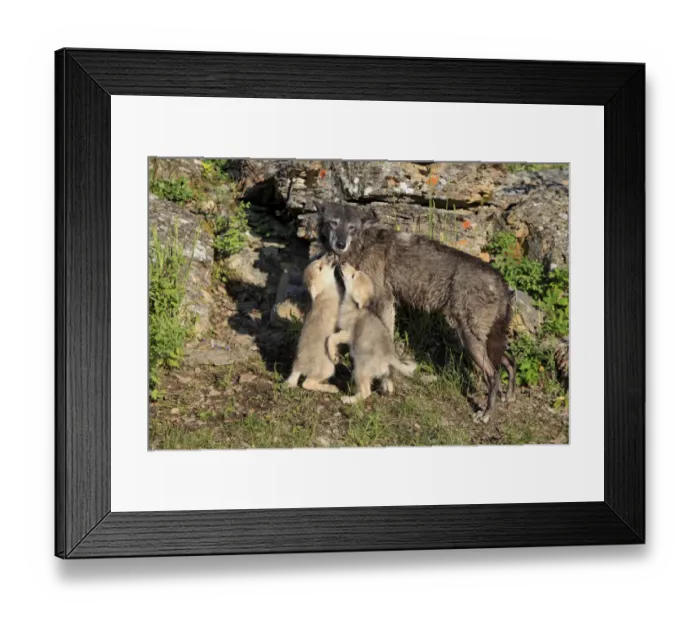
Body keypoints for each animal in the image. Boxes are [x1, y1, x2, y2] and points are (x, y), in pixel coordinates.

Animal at [327, 263, 417, 404]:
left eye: (353, 275)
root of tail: (389, 357)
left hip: (360, 370)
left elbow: (331, 338)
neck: (355, 307)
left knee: (366, 392)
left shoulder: (347, 334)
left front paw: (332, 355)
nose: (343, 263)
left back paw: (349, 399)